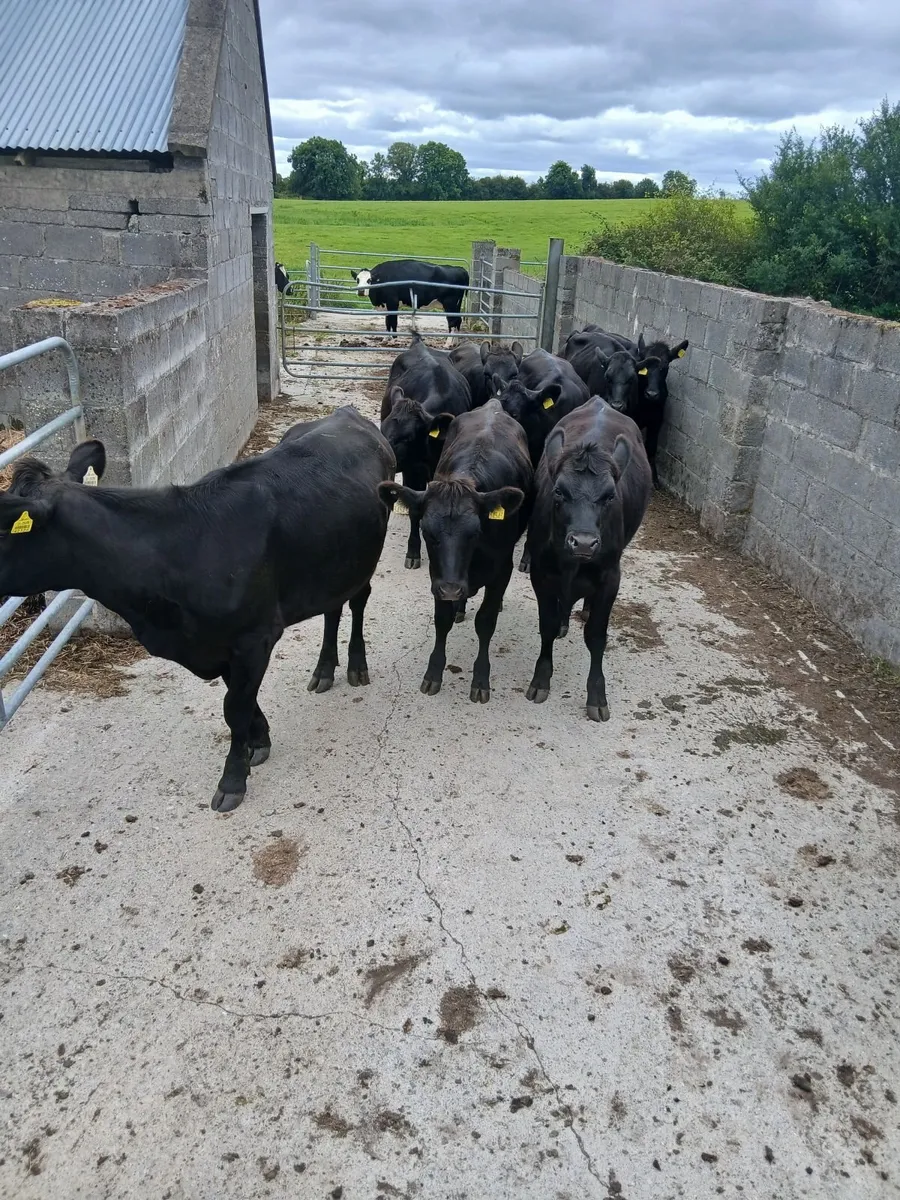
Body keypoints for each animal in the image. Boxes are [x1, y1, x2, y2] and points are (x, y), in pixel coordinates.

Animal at [0, 408, 395, 813]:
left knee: (358, 601)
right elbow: (239, 699)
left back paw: (355, 666)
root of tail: (345, 413)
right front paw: (258, 742)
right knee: (333, 610)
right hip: (333, 566)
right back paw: (324, 670)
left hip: (362, 560)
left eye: (3, 530)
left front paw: (233, 780)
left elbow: (234, 707)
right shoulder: (214, 643)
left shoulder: (254, 638)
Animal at [378, 400, 532, 704]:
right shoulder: (437, 575)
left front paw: (481, 678)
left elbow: (486, 622)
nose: (451, 589)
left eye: (475, 532)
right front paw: (433, 672)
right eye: (427, 532)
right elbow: (441, 621)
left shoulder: (502, 569)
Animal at [524, 397, 652, 723]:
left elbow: (596, 636)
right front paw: (540, 680)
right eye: (559, 491)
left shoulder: (610, 578)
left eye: (609, 496)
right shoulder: (542, 575)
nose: (583, 542)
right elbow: (547, 624)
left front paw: (597, 695)